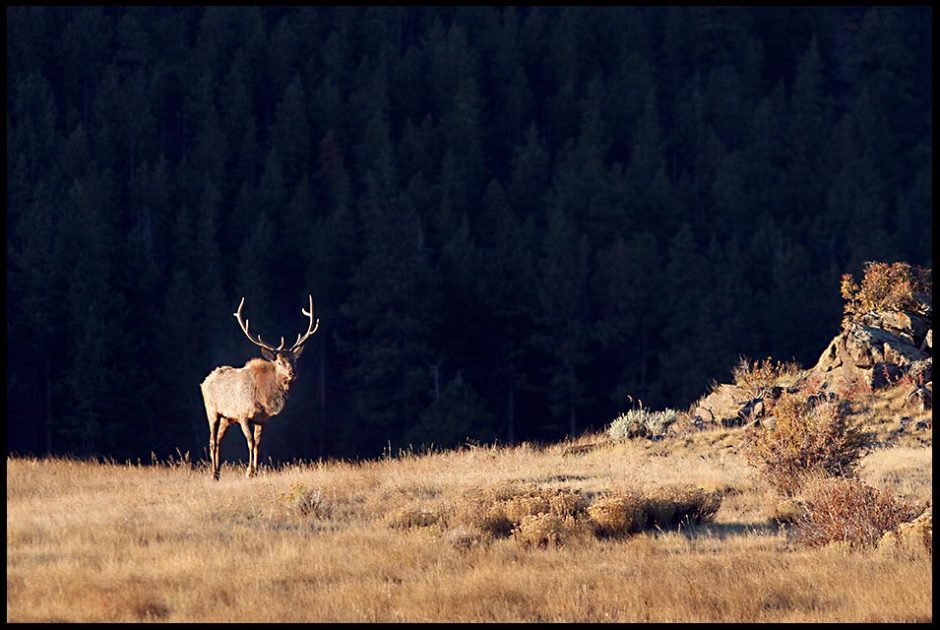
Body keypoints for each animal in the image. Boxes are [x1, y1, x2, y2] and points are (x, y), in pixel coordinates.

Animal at [199, 296, 320, 478]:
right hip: (212, 410)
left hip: (226, 418)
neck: (264, 398)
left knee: (219, 440)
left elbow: (258, 444)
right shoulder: (242, 415)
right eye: (279, 361)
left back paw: (218, 472)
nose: (293, 373)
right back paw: (213, 474)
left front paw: (255, 472)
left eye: (295, 360)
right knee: (212, 440)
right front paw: (249, 472)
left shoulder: (262, 419)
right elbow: (250, 442)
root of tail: (205, 381)